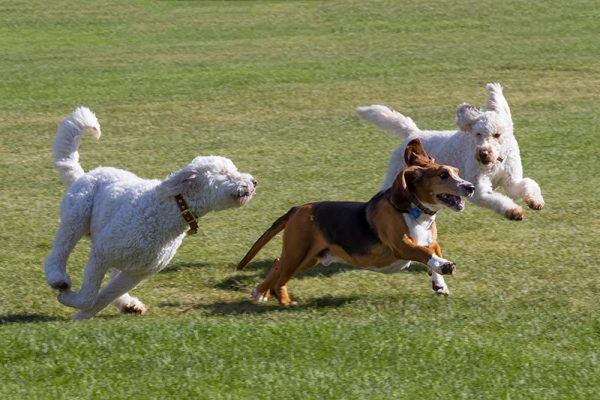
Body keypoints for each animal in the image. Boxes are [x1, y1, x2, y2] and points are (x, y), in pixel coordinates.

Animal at [44, 106, 255, 318]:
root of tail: (85, 174)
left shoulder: (136, 273)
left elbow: (100, 299)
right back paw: (58, 278)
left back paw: (129, 304)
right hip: (76, 217)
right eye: (224, 173)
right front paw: (68, 301)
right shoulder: (101, 253)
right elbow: (89, 295)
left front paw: (80, 317)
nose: (253, 182)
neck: (167, 212)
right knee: (58, 252)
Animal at [237, 139, 476, 304]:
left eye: (456, 171)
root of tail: (299, 208)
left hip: (309, 257)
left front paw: (439, 283)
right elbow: (425, 254)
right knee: (281, 272)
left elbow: (432, 252)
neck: (418, 212)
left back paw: (260, 292)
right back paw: (284, 301)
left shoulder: (430, 241)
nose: (470, 187)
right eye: (443, 175)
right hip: (298, 252)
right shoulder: (401, 245)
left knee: (278, 263)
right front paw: (444, 266)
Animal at [358, 83, 548, 220]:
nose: (483, 153)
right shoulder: (479, 188)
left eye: (497, 135)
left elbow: (526, 185)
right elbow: (495, 198)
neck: (495, 163)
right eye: (478, 134)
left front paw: (535, 201)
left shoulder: (510, 180)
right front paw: (513, 211)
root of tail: (413, 133)